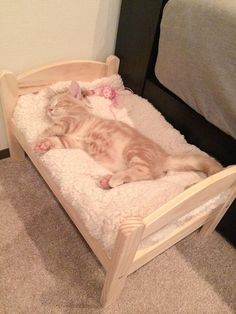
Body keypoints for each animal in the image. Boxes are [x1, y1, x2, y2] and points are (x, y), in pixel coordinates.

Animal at [34, 81, 222, 189]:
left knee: (145, 172)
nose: (49, 110)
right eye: (48, 105)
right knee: (153, 177)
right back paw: (107, 181)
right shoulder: (73, 141)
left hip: (134, 151)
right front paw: (44, 144)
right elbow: (57, 140)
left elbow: (54, 128)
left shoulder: (73, 123)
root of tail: (165, 156)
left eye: (57, 103)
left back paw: (114, 179)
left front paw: (40, 136)